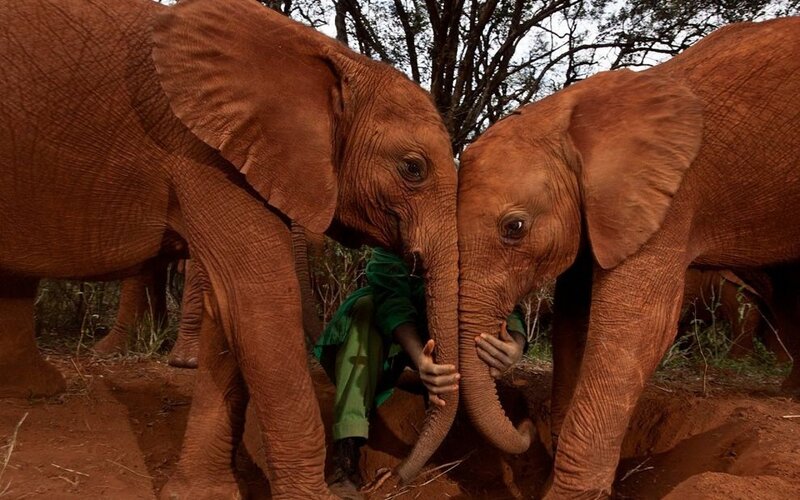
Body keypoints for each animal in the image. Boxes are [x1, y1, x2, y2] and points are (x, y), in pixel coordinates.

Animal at [0, 0, 458, 497]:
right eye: (412, 168)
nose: (388, 477)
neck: (329, 56)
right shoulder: (201, 152)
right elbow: (256, 299)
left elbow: (229, 313)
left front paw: (200, 493)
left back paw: (36, 390)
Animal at [456, 17, 800, 498]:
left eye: (514, 228)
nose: (524, 427)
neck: (573, 116)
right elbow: (576, 318)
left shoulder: (673, 198)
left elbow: (634, 326)